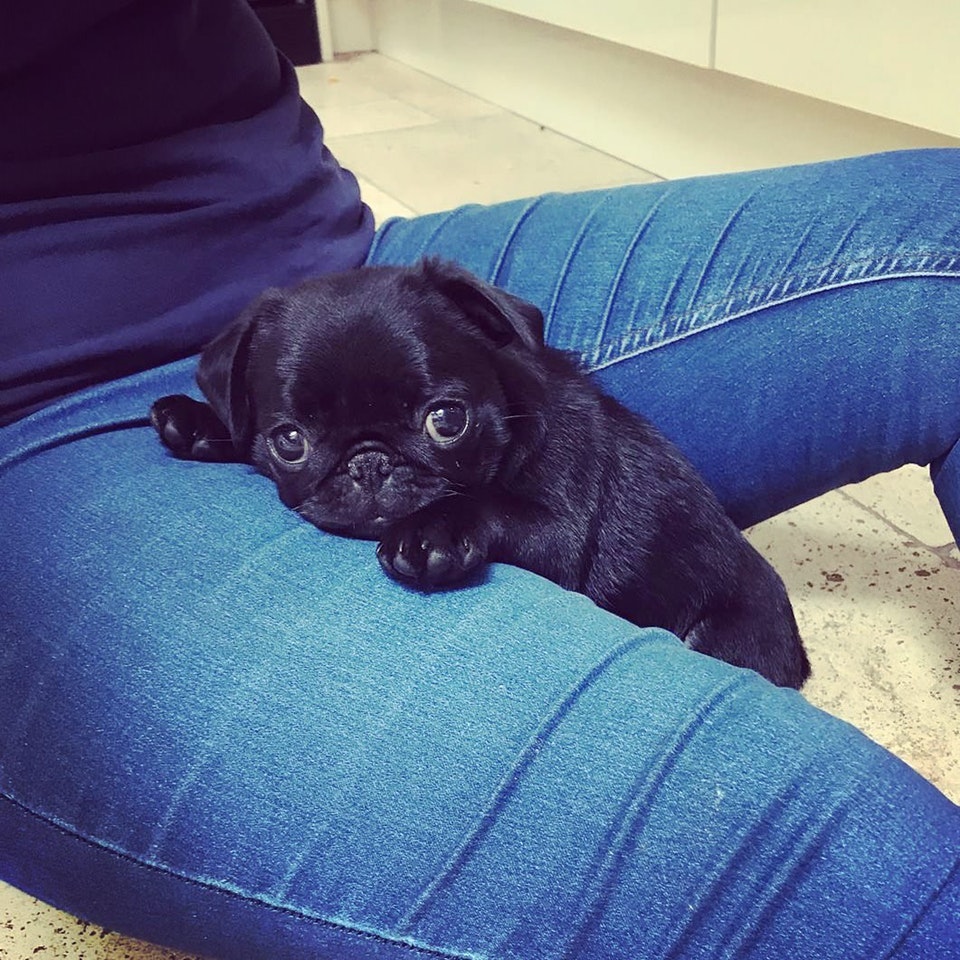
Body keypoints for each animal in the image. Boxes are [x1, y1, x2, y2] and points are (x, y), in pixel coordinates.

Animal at [150, 258, 808, 688]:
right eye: (290, 441)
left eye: (447, 420)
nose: (370, 462)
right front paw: (202, 420)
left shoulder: (562, 532)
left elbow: (488, 505)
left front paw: (429, 534)